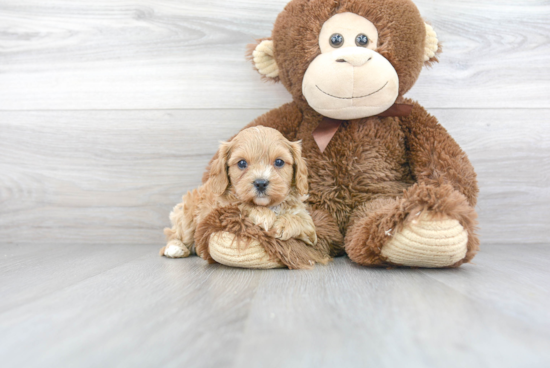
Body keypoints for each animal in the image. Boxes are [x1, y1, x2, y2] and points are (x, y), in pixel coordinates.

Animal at [162, 126, 316, 262]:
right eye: (242, 163)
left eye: (279, 162)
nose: (261, 183)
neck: (267, 205)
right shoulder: (221, 209)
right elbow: (241, 204)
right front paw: (264, 215)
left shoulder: (309, 228)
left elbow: (303, 221)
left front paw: (282, 225)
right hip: (187, 215)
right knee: (175, 234)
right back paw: (175, 248)